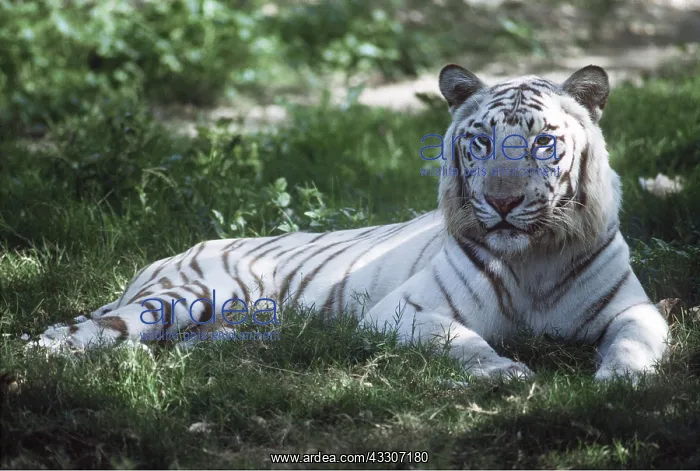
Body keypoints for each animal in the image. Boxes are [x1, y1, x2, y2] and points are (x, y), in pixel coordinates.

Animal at [35, 64, 669, 382]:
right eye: (482, 142)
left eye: (542, 142)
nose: (505, 202)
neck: (533, 257)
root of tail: (168, 254)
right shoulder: (405, 311)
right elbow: (463, 341)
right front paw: (504, 371)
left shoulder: (635, 309)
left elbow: (635, 342)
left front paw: (622, 382)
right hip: (182, 296)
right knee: (78, 333)